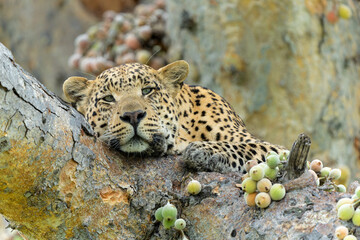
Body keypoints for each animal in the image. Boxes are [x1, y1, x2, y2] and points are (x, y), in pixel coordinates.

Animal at [63, 59, 286, 172]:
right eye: (108, 98)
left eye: (147, 90)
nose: (133, 115)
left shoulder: (275, 148)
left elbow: (246, 147)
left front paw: (202, 151)